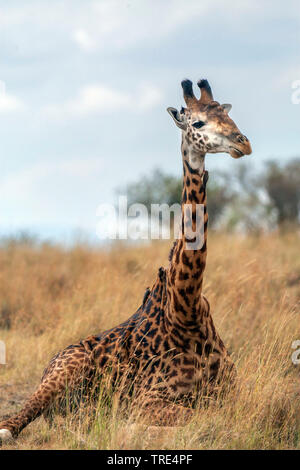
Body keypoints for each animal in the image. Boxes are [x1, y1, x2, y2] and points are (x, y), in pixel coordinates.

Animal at [0, 79, 251, 442]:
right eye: (198, 122)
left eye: (228, 115)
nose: (243, 142)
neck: (186, 309)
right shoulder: (150, 398)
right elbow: (196, 418)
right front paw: (129, 426)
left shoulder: (234, 388)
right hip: (63, 370)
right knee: (19, 419)